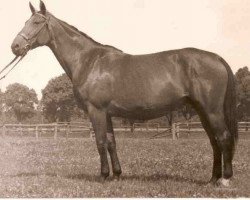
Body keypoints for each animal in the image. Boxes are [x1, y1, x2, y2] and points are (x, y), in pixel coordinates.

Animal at [10, 0, 237, 187]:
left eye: (37, 22)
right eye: (25, 21)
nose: (15, 46)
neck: (89, 61)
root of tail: (216, 58)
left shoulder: (96, 111)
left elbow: (100, 142)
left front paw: (103, 176)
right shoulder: (107, 113)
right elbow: (111, 142)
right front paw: (117, 175)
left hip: (212, 111)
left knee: (223, 138)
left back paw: (225, 179)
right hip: (202, 111)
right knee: (214, 141)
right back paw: (212, 179)